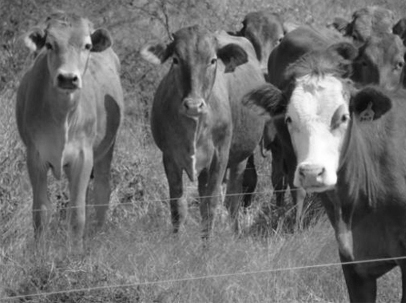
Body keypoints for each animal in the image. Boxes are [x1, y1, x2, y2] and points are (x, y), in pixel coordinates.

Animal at [16, 11, 123, 253]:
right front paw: (40, 252)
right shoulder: (35, 157)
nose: (67, 78)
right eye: (49, 44)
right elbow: (41, 211)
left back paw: (97, 236)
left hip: (106, 150)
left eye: (87, 45)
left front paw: (75, 252)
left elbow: (77, 212)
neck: (62, 117)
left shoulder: (83, 157)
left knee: (102, 191)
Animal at [141, 25, 264, 236]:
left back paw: (236, 233)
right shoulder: (169, 158)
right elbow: (178, 208)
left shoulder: (220, 157)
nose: (193, 105)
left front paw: (207, 244)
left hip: (240, 158)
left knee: (233, 199)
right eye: (176, 59)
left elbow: (211, 205)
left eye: (213, 60)